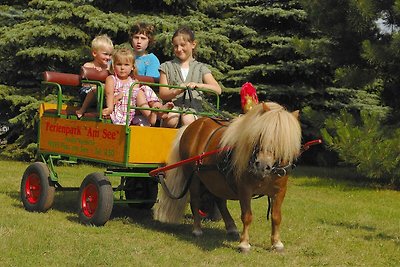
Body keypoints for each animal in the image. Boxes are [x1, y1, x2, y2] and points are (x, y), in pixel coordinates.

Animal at [152, 102, 300, 253]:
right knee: (195, 201)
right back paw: (197, 229)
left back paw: (231, 227)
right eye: (260, 134)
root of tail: (190, 126)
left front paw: (277, 243)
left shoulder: (280, 191)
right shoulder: (245, 189)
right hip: (193, 177)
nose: (262, 165)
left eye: (282, 140)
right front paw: (244, 244)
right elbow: (247, 216)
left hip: (216, 180)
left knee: (220, 201)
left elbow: (276, 217)